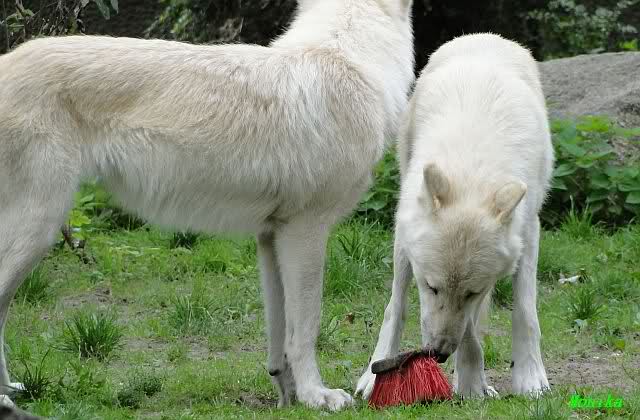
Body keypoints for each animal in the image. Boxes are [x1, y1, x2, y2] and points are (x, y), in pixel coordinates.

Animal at [0, 0, 414, 410]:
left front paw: (289, 397)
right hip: (39, 231)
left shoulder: (271, 237)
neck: (350, 55)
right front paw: (317, 396)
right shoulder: (305, 232)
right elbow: (306, 328)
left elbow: (279, 335)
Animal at [356, 33, 552, 399]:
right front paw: (472, 383)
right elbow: (413, 313)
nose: (438, 353)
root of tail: (485, 35)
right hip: (403, 235)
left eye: (471, 292)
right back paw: (374, 374)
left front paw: (527, 378)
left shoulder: (528, 232)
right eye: (431, 288)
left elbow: (523, 312)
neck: (472, 165)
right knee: (395, 306)